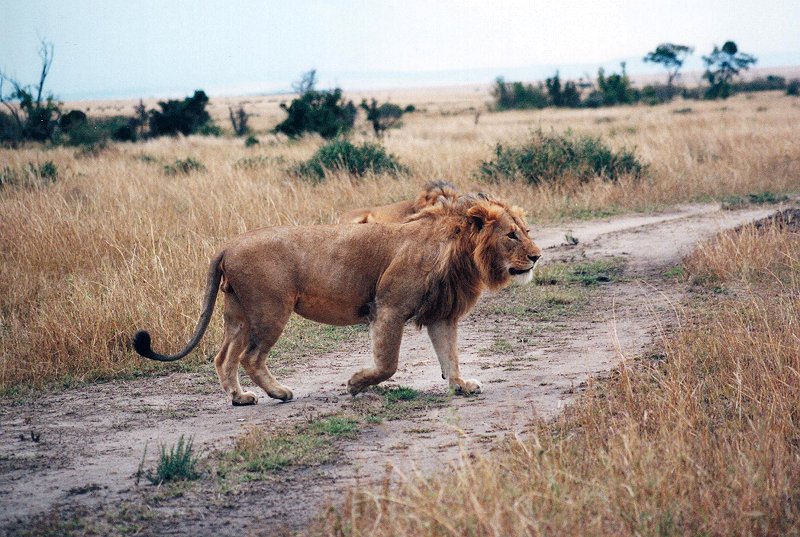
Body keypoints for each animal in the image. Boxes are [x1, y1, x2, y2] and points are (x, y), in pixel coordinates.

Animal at [133, 195, 541, 405]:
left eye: (526, 231)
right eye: (511, 235)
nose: (537, 256)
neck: (459, 249)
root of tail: (229, 244)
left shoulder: (441, 315)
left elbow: (449, 354)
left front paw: (460, 385)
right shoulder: (388, 308)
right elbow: (388, 363)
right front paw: (357, 384)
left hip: (238, 313)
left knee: (224, 357)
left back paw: (240, 397)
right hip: (270, 309)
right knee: (250, 357)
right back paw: (279, 393)